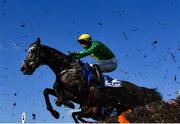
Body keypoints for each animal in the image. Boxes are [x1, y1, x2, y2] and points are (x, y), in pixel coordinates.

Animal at [20, 38, 162, 122]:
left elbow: (57, 86)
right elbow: (47, 90)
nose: (23, 68)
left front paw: (64, 103)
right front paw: (56, 112)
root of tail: (136, 87)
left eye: (33, 51)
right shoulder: (72, 94)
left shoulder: (79, 90)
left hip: (131, 104)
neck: (67, 68)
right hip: (122, 107)